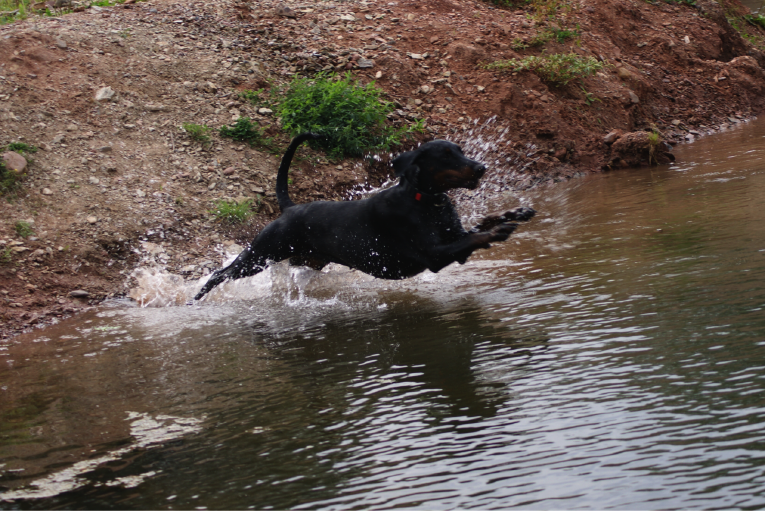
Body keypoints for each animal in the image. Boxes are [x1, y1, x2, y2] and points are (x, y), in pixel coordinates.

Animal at [194, 134, 536, 302]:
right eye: (446, 155)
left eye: (460, 150)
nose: (481, 167)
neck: (426, 202)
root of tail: (289, 208)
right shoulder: (434, 254)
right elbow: (477, 235)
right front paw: (501, 229)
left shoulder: (454, 241)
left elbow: (479, 226)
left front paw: (516, 212)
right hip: (261, 254)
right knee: (219, 274)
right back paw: (194, 301)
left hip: (305, 261)